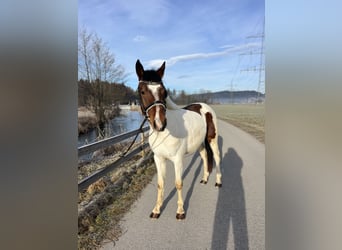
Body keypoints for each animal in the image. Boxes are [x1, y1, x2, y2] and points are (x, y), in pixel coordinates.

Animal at [136, 59, 222, 220]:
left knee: (217, 157)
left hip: (212, 140)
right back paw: (204, 179)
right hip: (200, 144)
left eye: (164, 92)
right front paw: (156, 210)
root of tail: (204, 106)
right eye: (142, 91)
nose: (159, 123)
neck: (164, 134)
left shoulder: (177, 159)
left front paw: (180, 211)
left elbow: (178, 183)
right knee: (205, 157)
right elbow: (160, 184)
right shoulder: (159, 159)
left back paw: (218, 182)